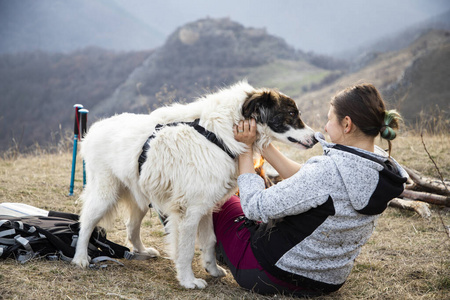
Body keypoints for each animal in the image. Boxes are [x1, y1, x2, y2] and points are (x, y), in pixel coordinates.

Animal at [72, 81, 316, 288]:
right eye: (291, 114)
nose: (315, 138)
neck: (219, 134)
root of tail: (96, 128)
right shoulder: (188, 212)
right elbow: (187, 249)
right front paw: (188, 281)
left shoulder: (205, 206)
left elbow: (209, 241)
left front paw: (213, 269)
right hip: (105, 194)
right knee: (86, 223)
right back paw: (81, 258)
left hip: (141, 196)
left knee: (131, 227)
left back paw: (142, 251)